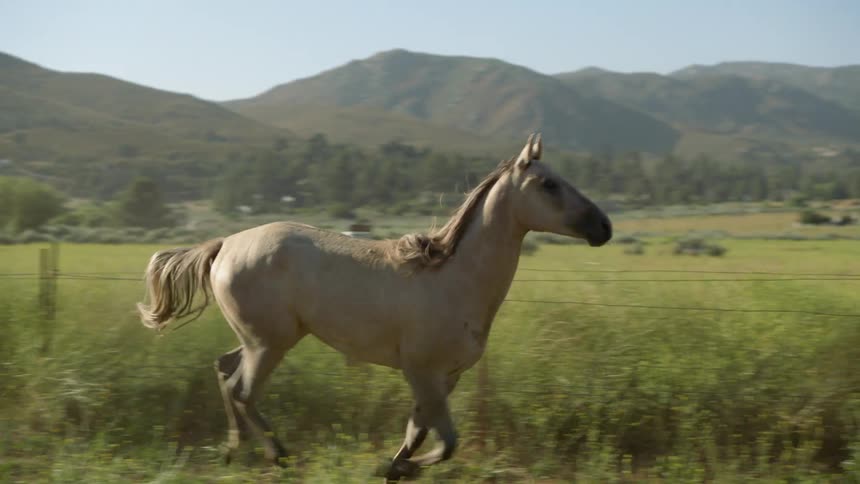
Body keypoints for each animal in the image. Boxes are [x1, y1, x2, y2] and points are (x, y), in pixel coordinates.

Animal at [136, 133, 612, 481]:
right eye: (549, 184)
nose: (603, 227)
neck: (454, 279)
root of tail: (224, 245)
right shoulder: (422, 372)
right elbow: (445, 442)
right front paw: (396, 466)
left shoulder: (445, 377)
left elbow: (418, 433)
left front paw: (395, 468)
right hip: (267, 344)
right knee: (242, 389)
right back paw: (278, 456)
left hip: (266, 338)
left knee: (224, 369)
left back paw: (233, 451)